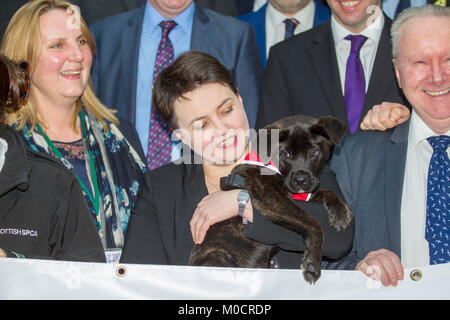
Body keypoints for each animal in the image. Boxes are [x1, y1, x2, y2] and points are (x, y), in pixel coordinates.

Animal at [188, 114, 354, 282]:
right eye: (285, 154)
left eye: (314, 152)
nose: (301, 180)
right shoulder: (268, 195)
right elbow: (313, 222)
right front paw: (312, 261)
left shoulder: (297, 194)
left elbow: (325, 192)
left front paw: (340, 212)